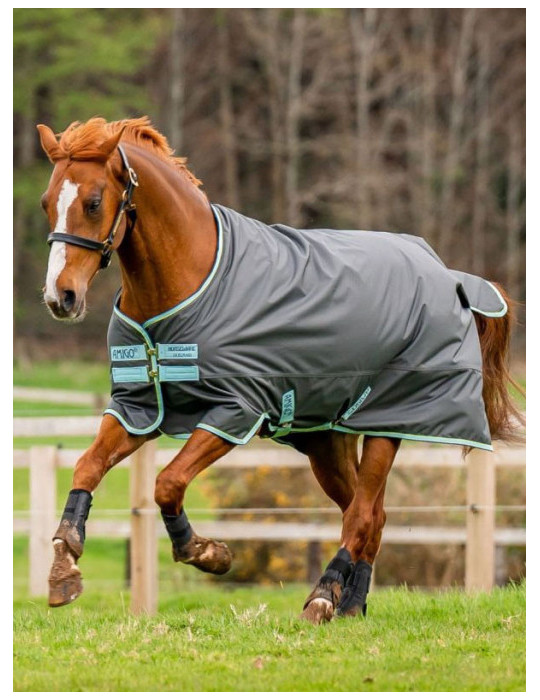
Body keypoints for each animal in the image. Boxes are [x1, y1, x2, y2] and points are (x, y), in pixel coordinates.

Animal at [37, 117, 522, 623]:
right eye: (47, 202)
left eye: (93, 202)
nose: (60, 297)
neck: (188, 283)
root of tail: (449, 275)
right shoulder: (138, 409)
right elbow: (87, 467)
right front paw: (64, 567)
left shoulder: (235, 412)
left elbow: (167, 483)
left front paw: (207, 553)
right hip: (328, 441)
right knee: (370, 514)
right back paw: (351, 604)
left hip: (390, 423)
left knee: (362, 514)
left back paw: (323, 597)